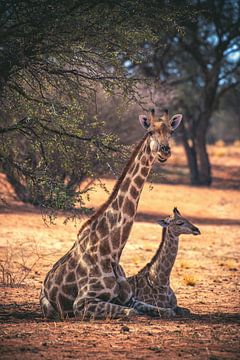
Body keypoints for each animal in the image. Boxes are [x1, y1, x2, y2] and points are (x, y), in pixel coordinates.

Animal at [39, 108, 182, 320]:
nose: (165, 151)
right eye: (150, 132)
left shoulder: (129, 297)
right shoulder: (83, 303)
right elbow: (133, 313)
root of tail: (44, 282)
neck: (112, 251)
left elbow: (167, 310)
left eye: (171, 132)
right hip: (49, 307)